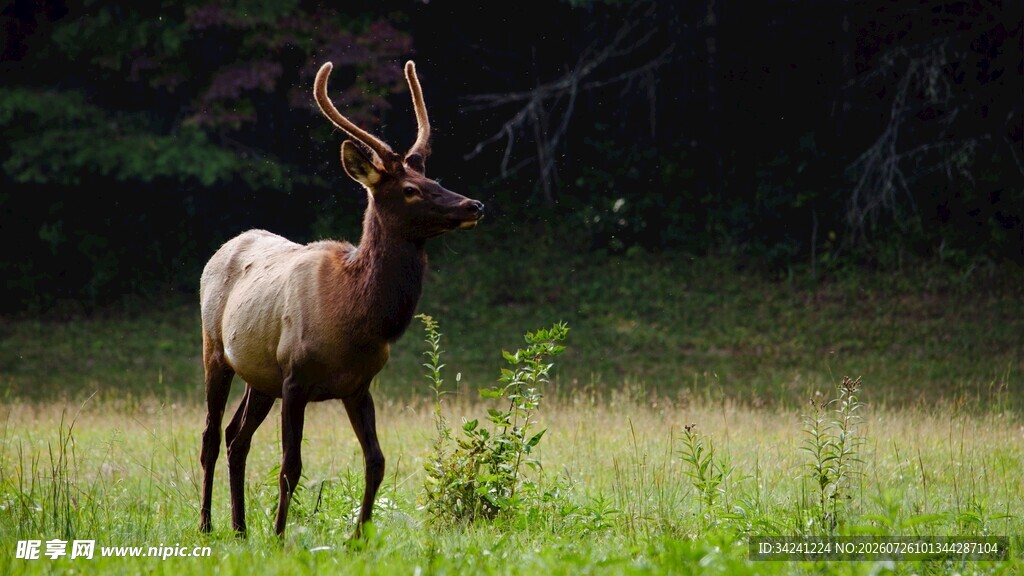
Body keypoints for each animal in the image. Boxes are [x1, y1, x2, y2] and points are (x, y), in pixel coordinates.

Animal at [197, 60, 484, 541]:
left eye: (433, 179)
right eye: (409, 189)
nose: (473, 205)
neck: (354, 318)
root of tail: (222, 248)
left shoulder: (359, 385)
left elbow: (377, 461)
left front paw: (360, 536)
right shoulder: (295, 378)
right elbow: (290, 467)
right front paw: (280, 537)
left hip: (260, 376)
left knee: (238, 438)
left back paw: (239, 528)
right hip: (215, 350)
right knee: (211, 438)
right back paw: (206, 524)